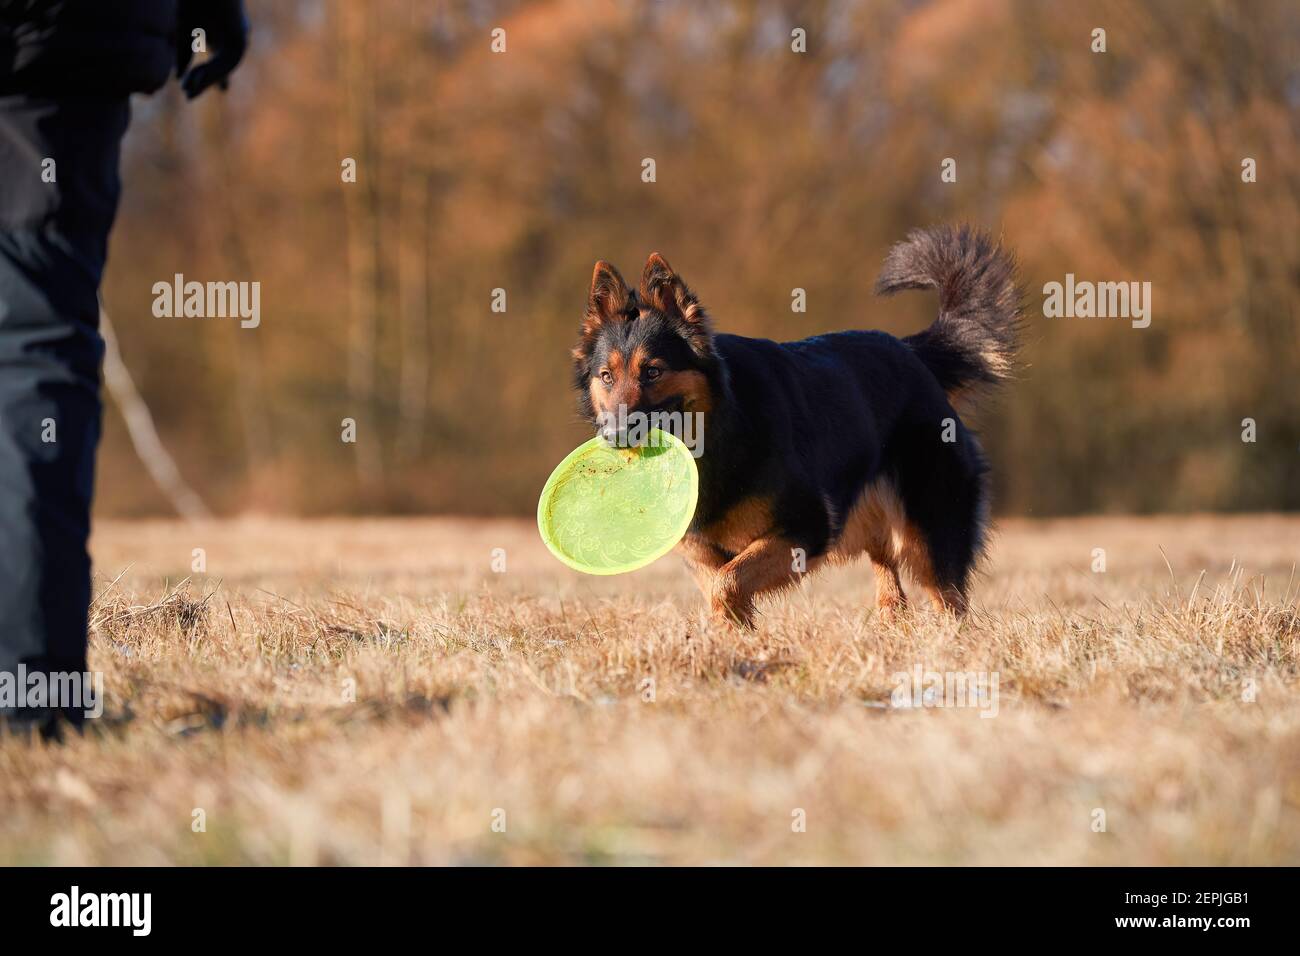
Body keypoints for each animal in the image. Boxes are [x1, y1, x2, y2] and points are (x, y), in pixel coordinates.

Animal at [574, 223, 1019, 629]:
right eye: (606, 376)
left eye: (652, 371)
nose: (613, 437)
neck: (721, 425)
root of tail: (914, 354)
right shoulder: (702, 554)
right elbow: (722, 589)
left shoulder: (806, 529)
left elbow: (727, 583)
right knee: (891, 584)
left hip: (931, 533)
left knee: (949, 598)